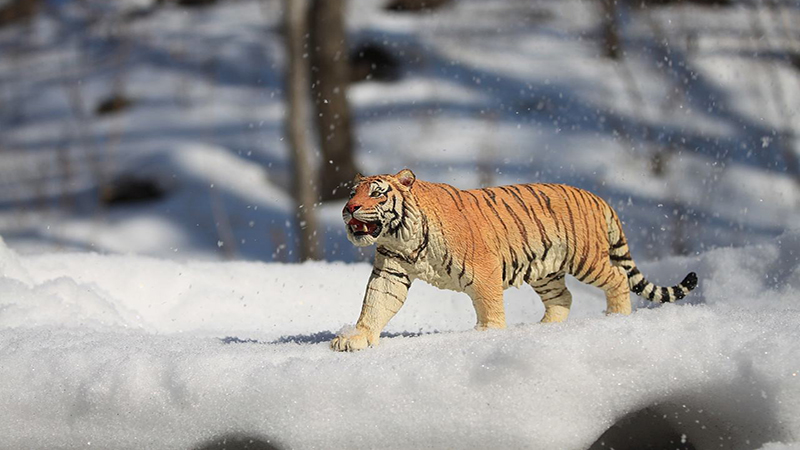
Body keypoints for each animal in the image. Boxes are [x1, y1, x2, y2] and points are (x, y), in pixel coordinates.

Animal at [330, 169, 697, 352]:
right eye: (352, 193)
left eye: (377, 193)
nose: (349, 208)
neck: (401, 235)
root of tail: (598, 197)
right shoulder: (391, 271)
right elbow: (376, 305)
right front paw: (356, 338)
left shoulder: (484, 270)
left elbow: (490, 305)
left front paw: (487, 334)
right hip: (546, 271)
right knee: (564, 297)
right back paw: (545, 327)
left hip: (587, 260)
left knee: (618, 278)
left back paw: (615, 317)